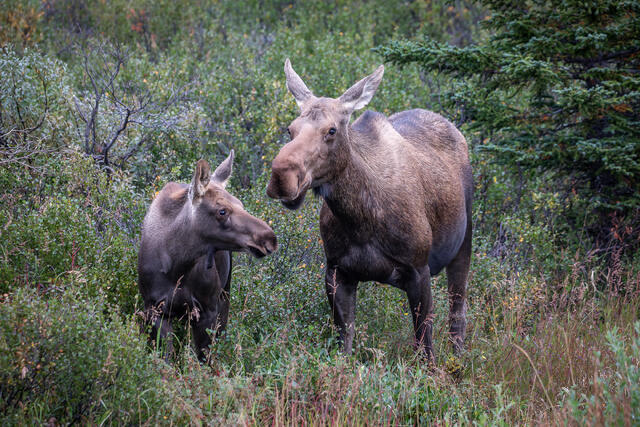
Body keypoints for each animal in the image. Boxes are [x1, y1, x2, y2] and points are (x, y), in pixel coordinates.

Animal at [138, 151, 277, 360]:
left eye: (241, 203)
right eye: (222, 211)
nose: (269, 239)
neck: (177, 266)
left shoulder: (208, 309)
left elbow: (205, 360)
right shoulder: (154, 309)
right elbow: (165, 359)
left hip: (225, 294)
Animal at [266, 59, 473, 361]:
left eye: (332, 130)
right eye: (290, 129)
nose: (282, 176)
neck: (361, 220)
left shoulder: (419, 269)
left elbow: (426, 347)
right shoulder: (337, 271)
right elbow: (345, 343)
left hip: (463, 244)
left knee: (457, 316)